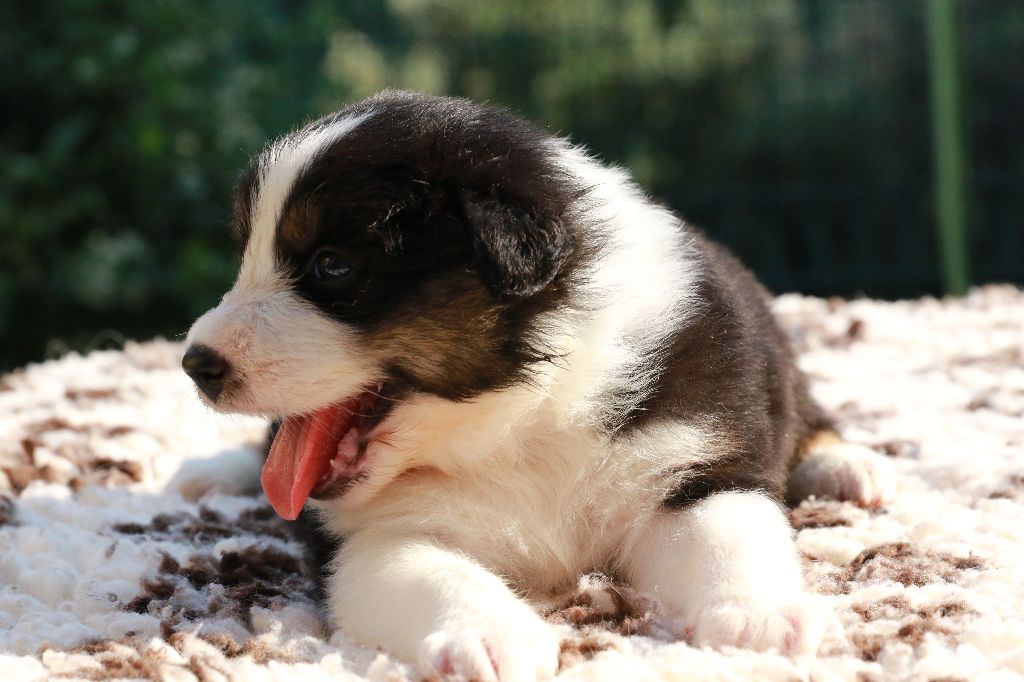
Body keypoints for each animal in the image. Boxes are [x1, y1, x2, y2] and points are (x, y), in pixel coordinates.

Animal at [182, 90, 893, 680]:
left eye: (331, 266)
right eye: (247, 257)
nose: (195, 363)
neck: (515, 424)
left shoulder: (692, 451)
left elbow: (730, 530)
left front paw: (760, 619)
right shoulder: (367, 536)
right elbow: (426, 571)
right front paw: (491, 637)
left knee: (810, 414)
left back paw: (846, 467)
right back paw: (207, 474)